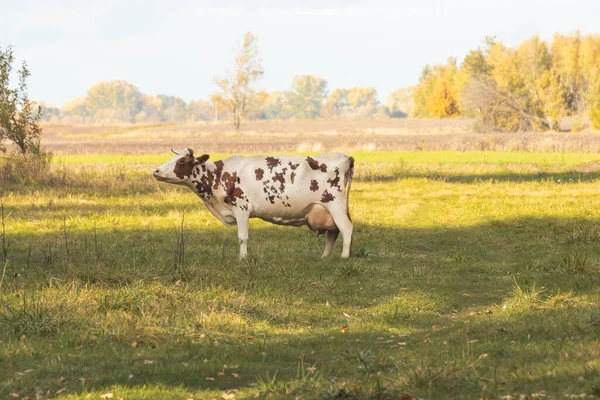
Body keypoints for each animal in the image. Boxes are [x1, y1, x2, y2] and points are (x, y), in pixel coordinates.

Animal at [152, 148, 354, 260]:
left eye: (181, 161)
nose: (156, 170)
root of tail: (346, 157)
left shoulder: (241, 208)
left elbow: (243, 237)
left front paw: (242, 258)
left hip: (335, 204)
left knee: (346, 228)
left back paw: (344, 256)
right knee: (333, 232)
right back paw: (324, 257)